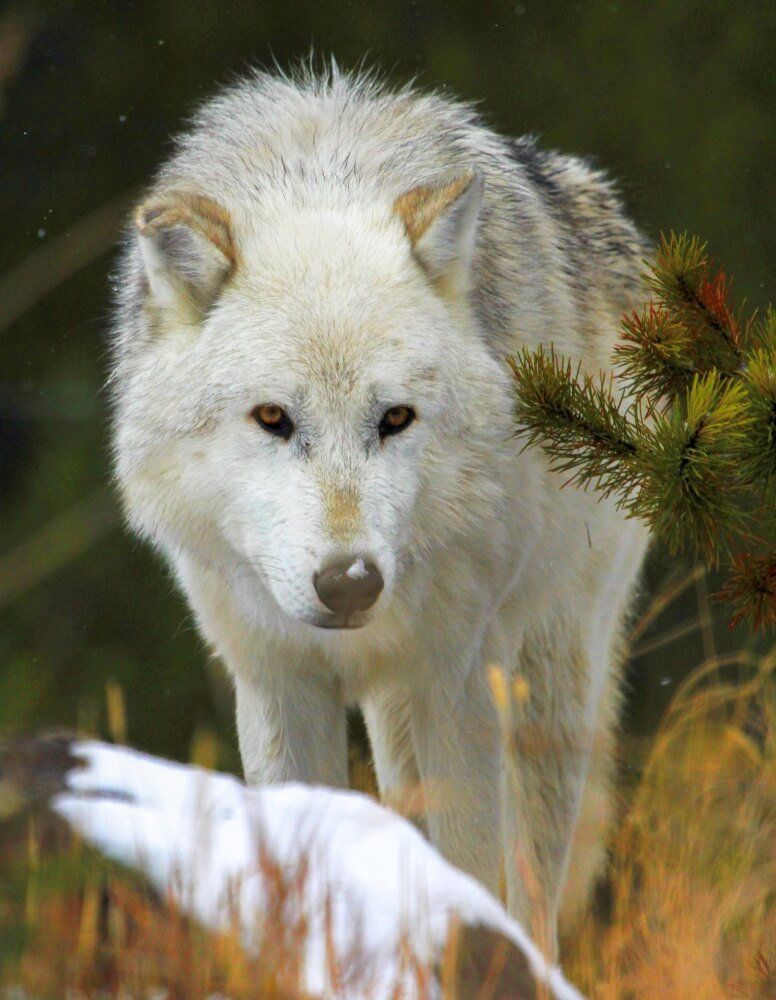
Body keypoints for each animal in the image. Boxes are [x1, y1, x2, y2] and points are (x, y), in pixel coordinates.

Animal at [110, 63, 649, 952]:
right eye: (272, 417)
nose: (350, 582)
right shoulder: (276, 684)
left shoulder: (455, 681)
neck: (320, 176)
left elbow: (478, 878)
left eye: (395, 418)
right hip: (398, 714)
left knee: (533, 887)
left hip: (546, 681)